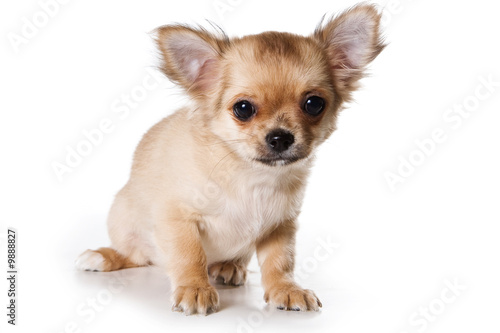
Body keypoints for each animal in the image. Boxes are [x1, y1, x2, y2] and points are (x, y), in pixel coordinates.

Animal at [76, 3, 384, 314]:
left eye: (314, 104)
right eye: (243, 109)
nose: (280, 137)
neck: (251, 176)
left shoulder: (280, 226)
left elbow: (280, 261)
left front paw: (285, 289)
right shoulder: (177, 217)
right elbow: (189, 254)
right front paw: (194, 288)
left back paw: (229, 266)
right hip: (123, 219)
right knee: (136, 254)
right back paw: (103, 256)